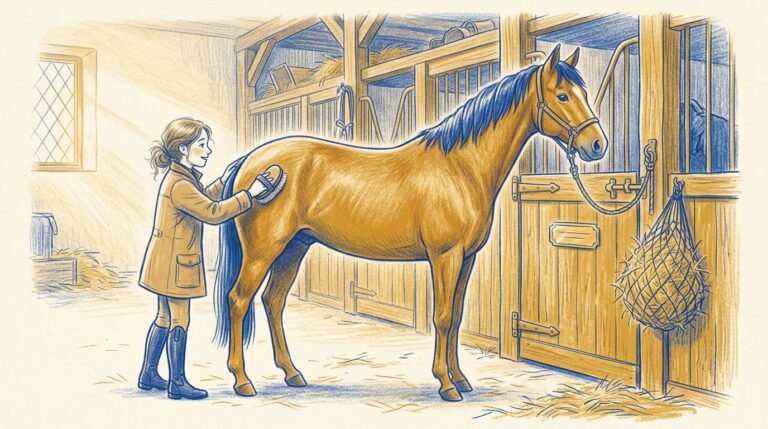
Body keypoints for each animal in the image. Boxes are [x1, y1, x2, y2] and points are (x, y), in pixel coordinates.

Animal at [213, 44, 608, 402]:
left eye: (584, 94)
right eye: (562, 95)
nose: (597, 145)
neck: (460, 168)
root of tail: (251, 161)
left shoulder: (466, 259)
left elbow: (458, 317)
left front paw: (461, 378)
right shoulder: (445, 256)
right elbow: (443, 317)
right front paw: (446, 385)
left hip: (294, 247)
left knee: (273, 301)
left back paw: (293, 374)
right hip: (264, 251)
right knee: (239, 300)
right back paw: (242, 381)